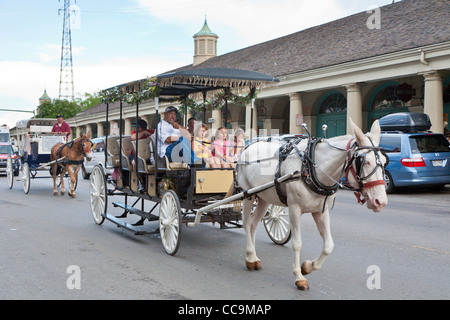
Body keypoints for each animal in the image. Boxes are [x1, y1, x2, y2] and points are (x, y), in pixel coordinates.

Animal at [236, 119, 386, 290]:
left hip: (263, 198)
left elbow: (328, 246)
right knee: (247, 223)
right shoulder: (294, 209)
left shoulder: (321, 211)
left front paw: (308, 267)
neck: (310, 167)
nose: (380, 202)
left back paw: (254, 257)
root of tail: (248, 147)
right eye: (365, 161)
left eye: (384, 161)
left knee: (254, 224)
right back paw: (249, 257)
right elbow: (297, 244)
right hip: (248, 195)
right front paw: (299, 276)